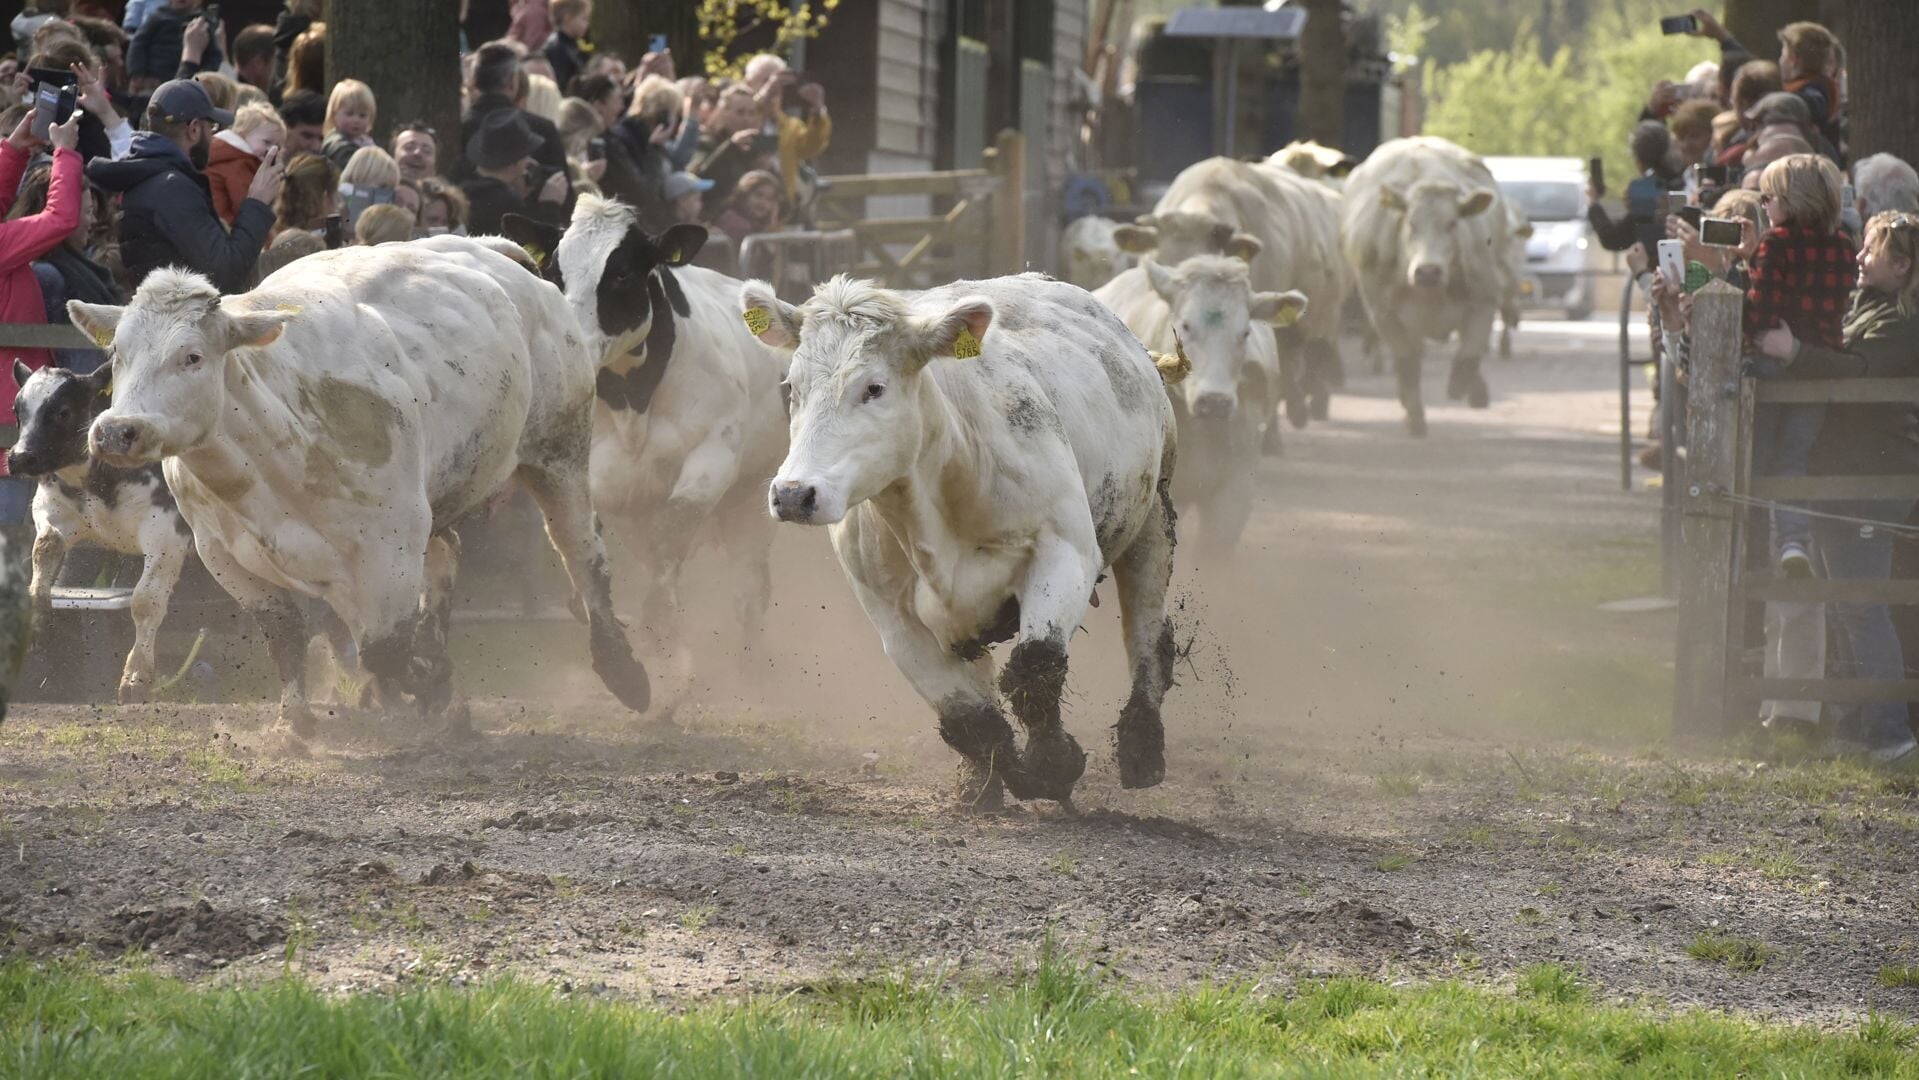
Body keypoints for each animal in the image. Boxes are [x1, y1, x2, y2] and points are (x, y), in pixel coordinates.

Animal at [5, 362, 190, 702]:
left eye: (63, 411)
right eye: (17, 408)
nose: (20, 457)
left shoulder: (166, 531)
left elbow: (145, 601)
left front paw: (136, 677)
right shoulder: (52, 509)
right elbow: (45, 547)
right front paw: (39, 621)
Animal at [72, 237, 652, 740]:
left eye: (191, 356)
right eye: (117, 353)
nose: (116, 431)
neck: (264, 453)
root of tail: (492, 249)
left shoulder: (388, 547)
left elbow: (384, 650)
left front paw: (432, 686)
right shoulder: (224, 556)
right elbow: (288, 635)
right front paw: (295, 723)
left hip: (560, 450)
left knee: (581, 552)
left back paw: (624, 671)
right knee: (447, 558)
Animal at [740, 274, 1174, 805]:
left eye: (874, 387)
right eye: (792, 388)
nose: (793, 494)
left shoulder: (1065, 554)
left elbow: (1036, 666)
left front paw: (1052, 763)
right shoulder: (892, 616)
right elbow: (968, 716)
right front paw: (999, 776)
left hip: (1153, 516)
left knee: (1146, 632)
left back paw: (1142, 747)